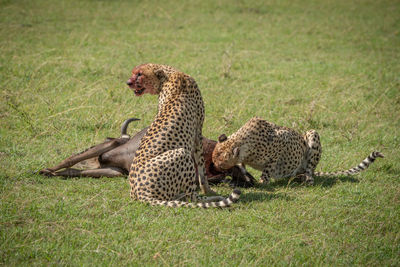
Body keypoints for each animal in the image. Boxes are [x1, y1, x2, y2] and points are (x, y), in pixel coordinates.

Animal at [126, 63, 241, 208]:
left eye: (139, 74)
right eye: (133, 73)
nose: (128, 82)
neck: (169, 74)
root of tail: (140, 193)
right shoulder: (198, 132)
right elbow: (202, 169)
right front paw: (208, 190)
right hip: (182, 153)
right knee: (192, 197)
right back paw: (213, 198)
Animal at [212, 117, 384, 186]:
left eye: (219, 162)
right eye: (214, 159)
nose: (214, 167)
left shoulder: (282, 142)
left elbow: (267, 170)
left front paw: (262, 182)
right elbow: (243, 167)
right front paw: (245, 176)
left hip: (312, 134)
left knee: (310, 170)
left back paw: (307, 179)